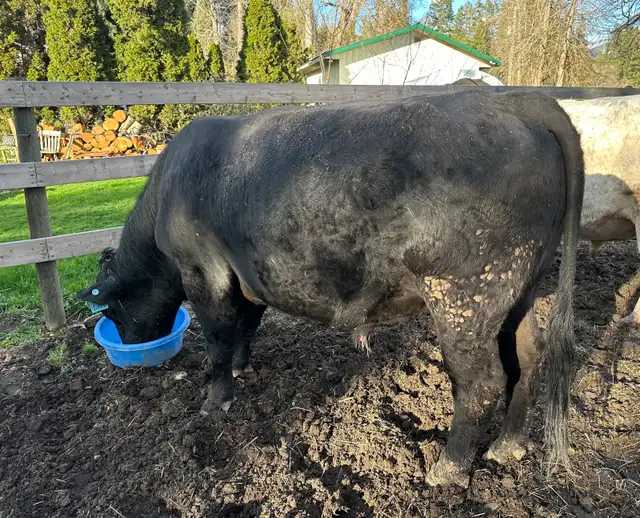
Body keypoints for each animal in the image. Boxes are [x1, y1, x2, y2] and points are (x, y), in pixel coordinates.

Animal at [78, 89, 584, 488]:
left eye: (114, 312)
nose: (129, 347)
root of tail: (513, 100)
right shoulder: (249, 276)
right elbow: (246, 325)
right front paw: (242, 368)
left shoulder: (204, 271)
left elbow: (219, 338)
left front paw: (215, 400)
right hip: (518, 290)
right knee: (529, 355)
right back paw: (508, 445)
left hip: (465, 295)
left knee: (481, 382)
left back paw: (448, 468)